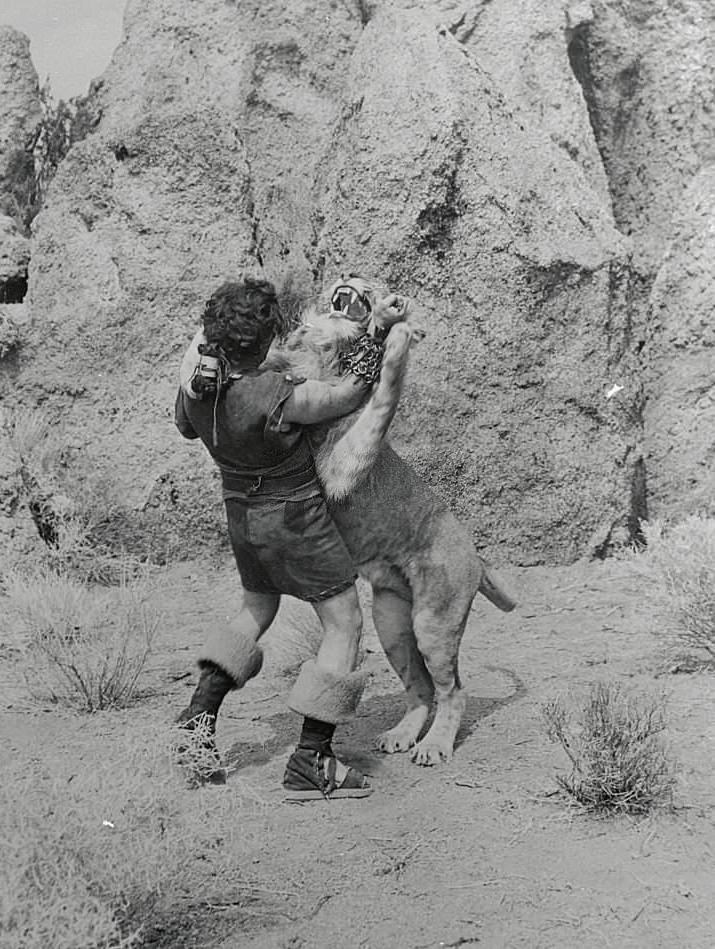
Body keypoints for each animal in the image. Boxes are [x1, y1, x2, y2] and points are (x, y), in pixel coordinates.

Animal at [269, 281, 517, 766]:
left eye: (371, 289)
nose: (352, 281)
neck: (326, 349)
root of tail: (476, 555)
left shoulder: (341, 466)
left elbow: (383, 401)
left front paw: (401, 333)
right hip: (391, 624)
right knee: (420, 688)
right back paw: (402, 737)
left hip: (434, 622)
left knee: (453, 690)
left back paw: (435, 747)